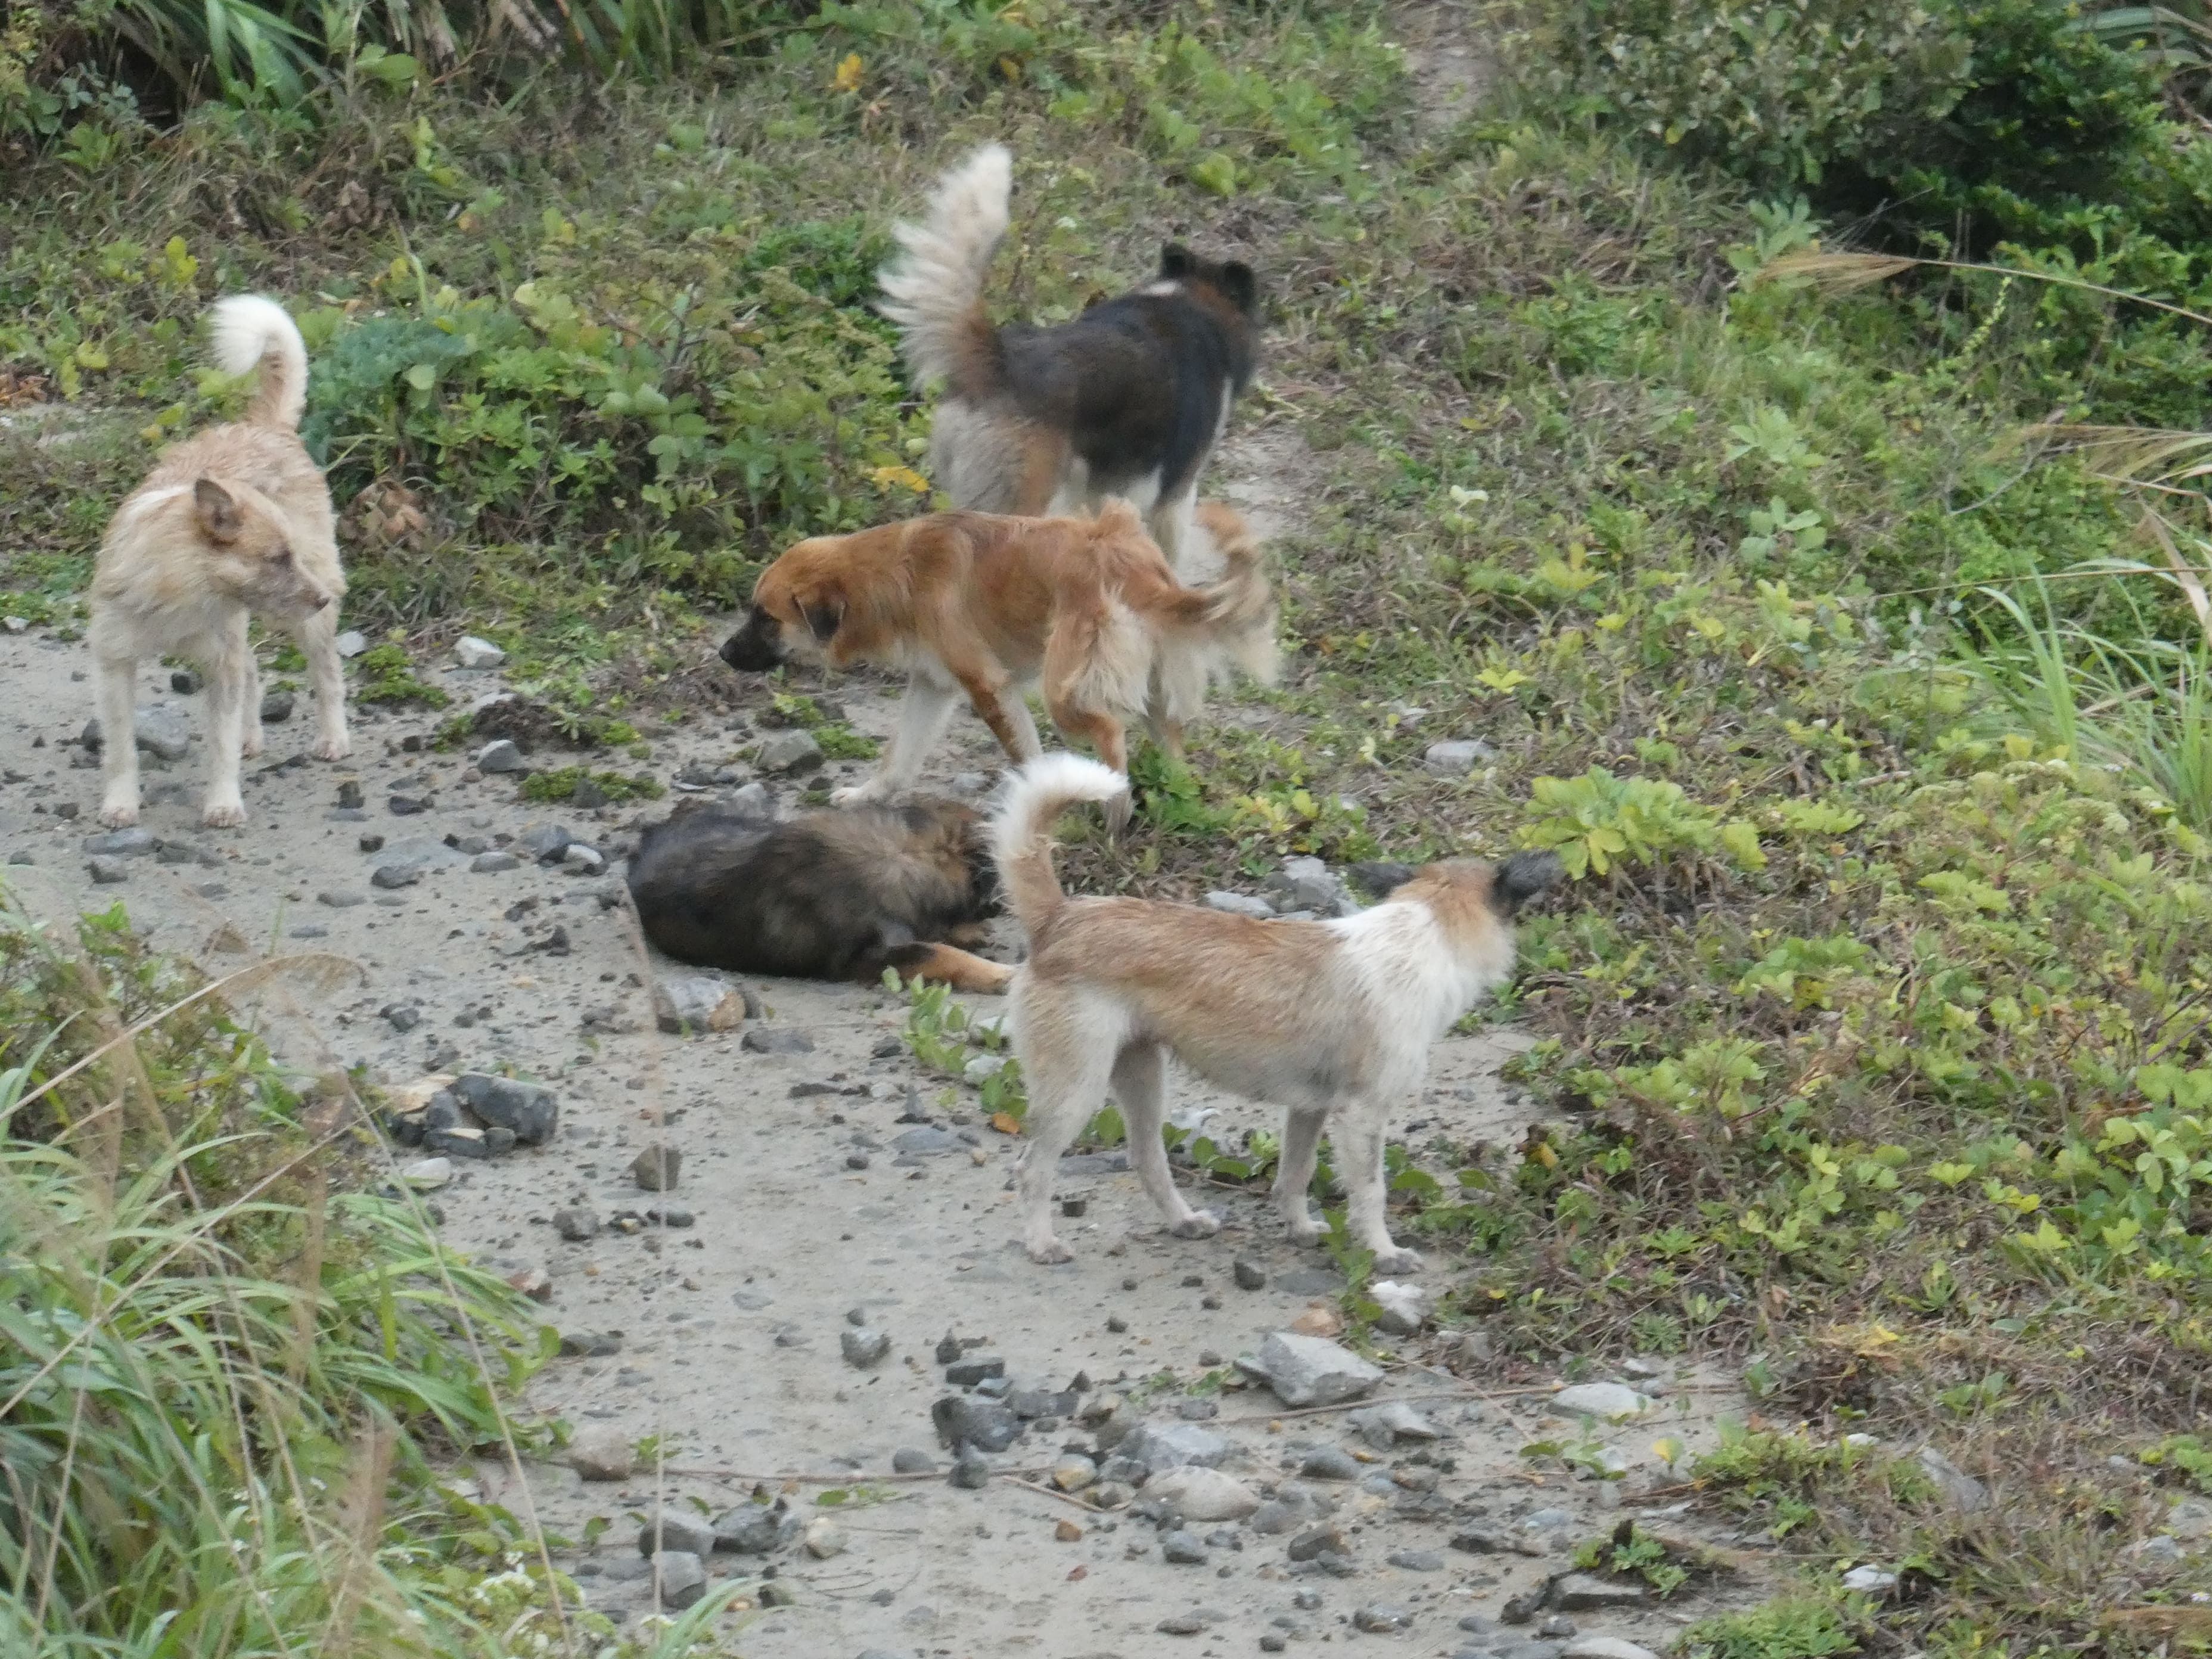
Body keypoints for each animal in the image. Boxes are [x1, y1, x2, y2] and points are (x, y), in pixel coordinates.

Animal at [721, 498, 1282, 827]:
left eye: (764, 617)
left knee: (1109, 732)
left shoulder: (988, 686)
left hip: (1065, 692)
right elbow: (899, 757)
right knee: (1170, 739)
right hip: (1152, 683)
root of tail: (1128, 559)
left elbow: (1026, 755)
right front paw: (868, 795)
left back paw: (1115, 810)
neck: (896, 573)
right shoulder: (931, 686)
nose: (723, 654)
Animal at [986, 752, 1557, 1274]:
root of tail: (1060, 917)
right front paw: (1383, 1253)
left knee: (1147, 1159)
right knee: (1033, 1169)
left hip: (1142, 1076)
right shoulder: (1363, 1117)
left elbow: (1295, 1176)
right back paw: (1042, 1244)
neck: (1424, 930)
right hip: (1076, 1089)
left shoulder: (1309, 1110)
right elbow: (1371, 1192)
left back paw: (1183, 1221)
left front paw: (1300, 1229)